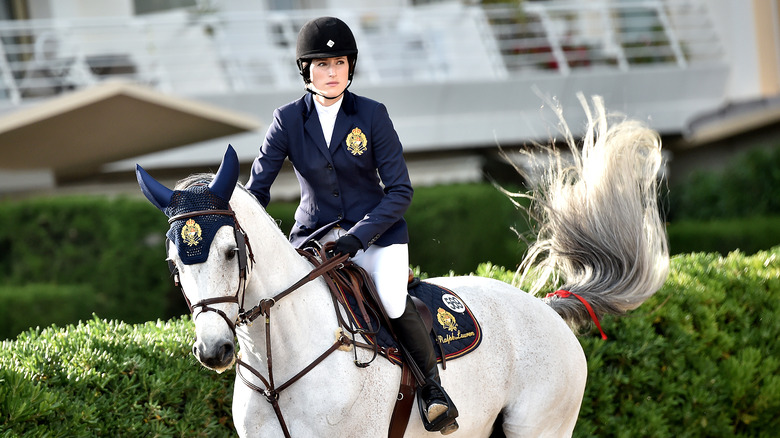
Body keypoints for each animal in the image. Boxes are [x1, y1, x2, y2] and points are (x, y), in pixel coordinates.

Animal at [136, 94, 672, 436]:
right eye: (173, 263)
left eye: (231, 251)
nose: (214, 351)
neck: (279, 368)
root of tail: (547, 309)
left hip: (540, 427)